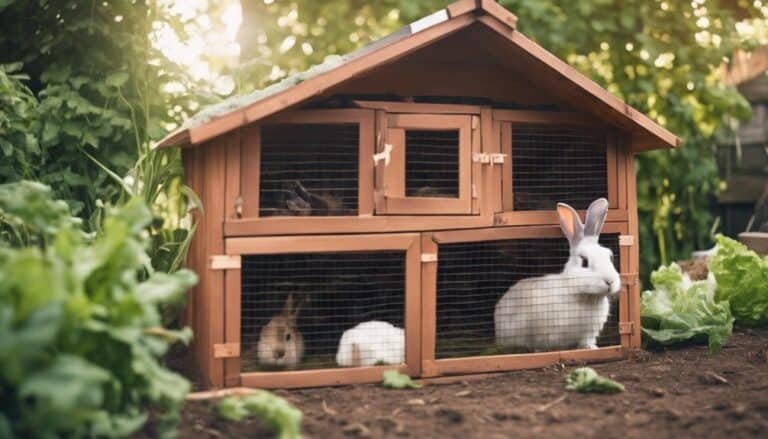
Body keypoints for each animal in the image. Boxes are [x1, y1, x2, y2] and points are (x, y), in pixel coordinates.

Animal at [494, 198, 621, 351]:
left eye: (610, 257)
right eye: (584, 261)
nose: (610, 282)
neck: (585, 296)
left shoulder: (588, 333)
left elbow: (586, 342)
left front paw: (591, 348)